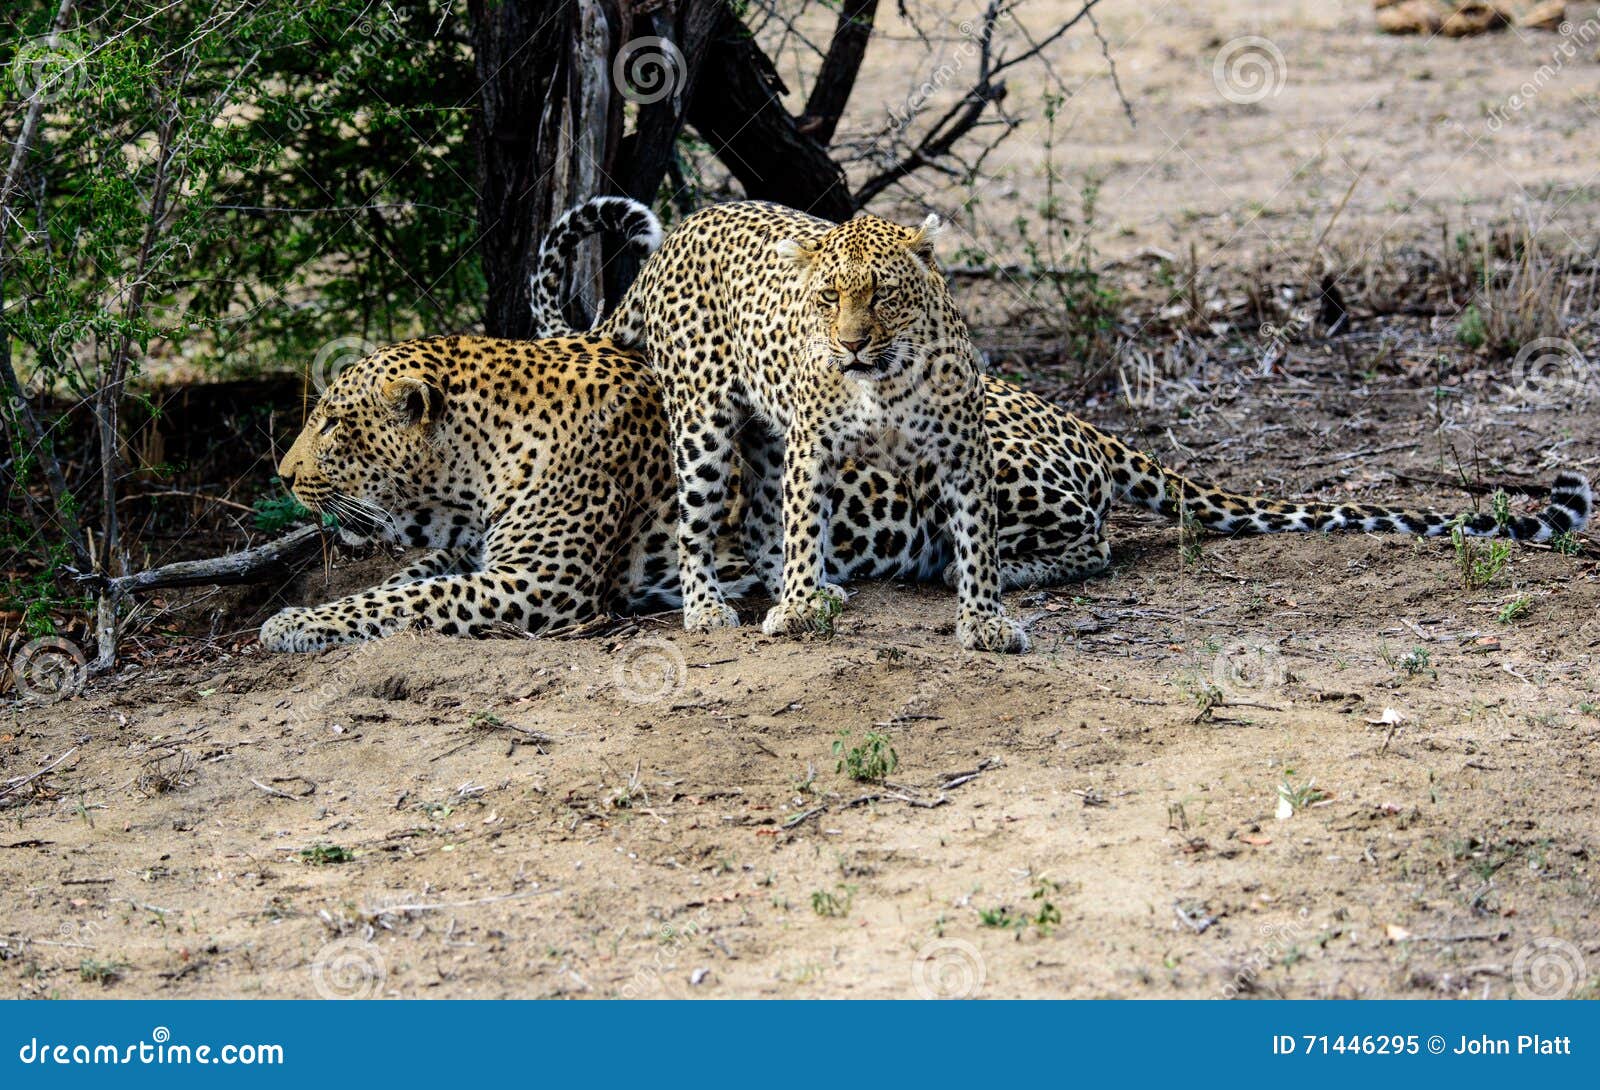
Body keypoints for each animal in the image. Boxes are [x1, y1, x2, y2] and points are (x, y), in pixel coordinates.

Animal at [537, 197, 1030, 656]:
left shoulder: (965, 451)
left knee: (756, 527)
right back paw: (708, 607)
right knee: (693, 528)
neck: (885, 384)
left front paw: (985, 619)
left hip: (770, 434)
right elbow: (805, 525)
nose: (852, 344)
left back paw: (810, 590)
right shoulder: (812, 446)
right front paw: (797, 608)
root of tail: (677, 236)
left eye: (882, 293)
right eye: (829, 296)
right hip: (701, 425)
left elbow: (979, 539)